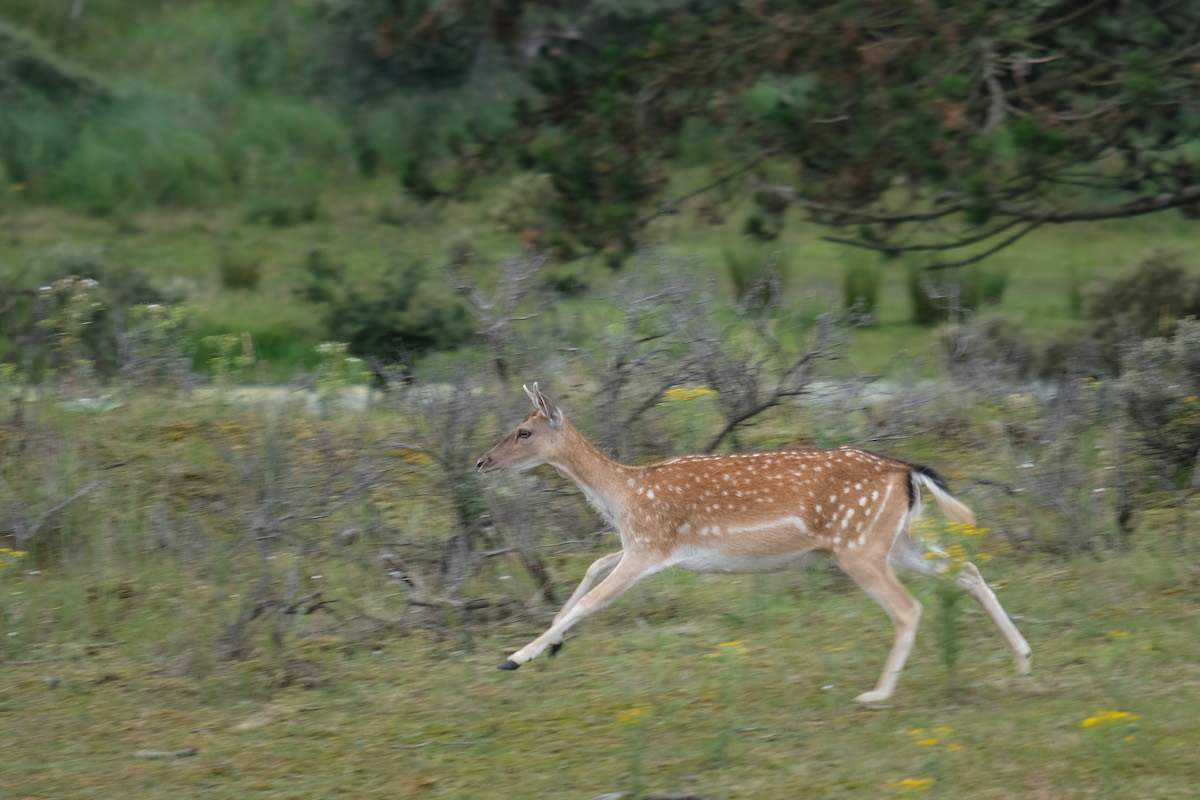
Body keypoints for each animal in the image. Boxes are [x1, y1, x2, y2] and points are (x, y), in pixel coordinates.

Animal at [477, 383, 1032, 705]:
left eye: (523, 431)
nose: (481, 461)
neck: (625, 494)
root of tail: (908, 472)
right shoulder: (640, 545)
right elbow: (592, 566)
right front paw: (551, 647)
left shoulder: (650, 544)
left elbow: (590, 599)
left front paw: (515, 657)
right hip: (897, 540)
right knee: (966, 570)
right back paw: (1023, 660)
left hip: (858, 545)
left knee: (909, 607)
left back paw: (875, 694)